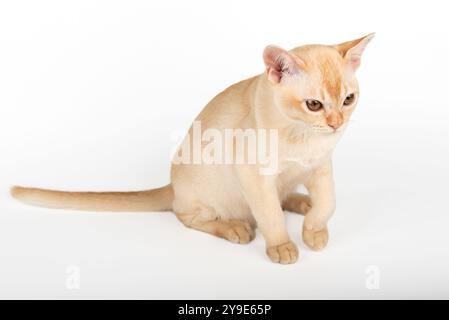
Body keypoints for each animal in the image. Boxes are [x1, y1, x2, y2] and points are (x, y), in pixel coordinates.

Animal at [11, 34, 374, 264]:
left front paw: (314, 231)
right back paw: (236, 227)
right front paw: (282, 246)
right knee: (188, 216)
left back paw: (300, 201)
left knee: (283, 196)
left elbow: (328, 202)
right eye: (314, 104)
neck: (302, 137)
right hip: (206, 193)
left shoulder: (321, 167)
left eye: (348, 99)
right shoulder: (254, 175)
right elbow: (270, 214)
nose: (336, 123)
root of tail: (172, 185)